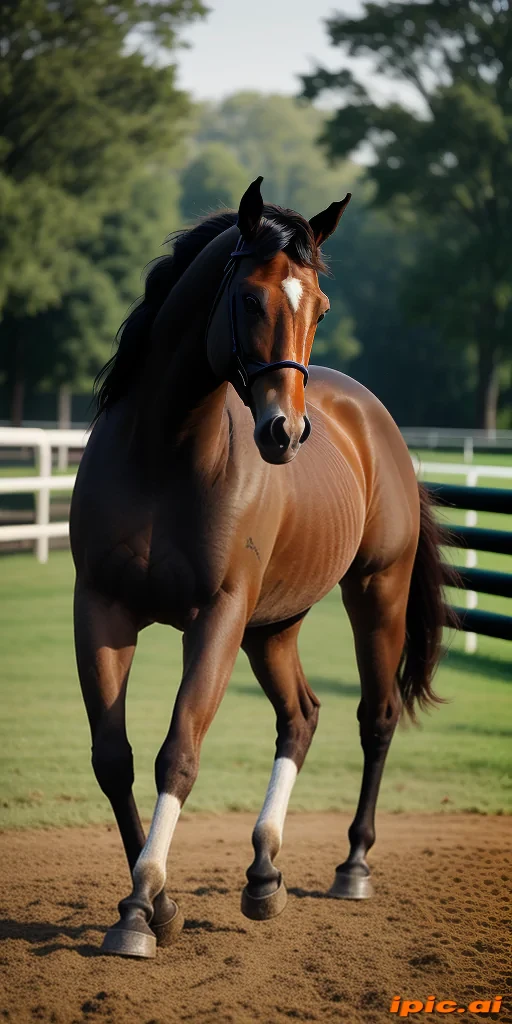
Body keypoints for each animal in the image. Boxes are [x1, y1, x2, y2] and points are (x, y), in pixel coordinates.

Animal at [70, 177, 449, 959]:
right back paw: (264, 872)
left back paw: (353, 865)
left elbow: (179, 752)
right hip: (272, 627)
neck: (165, 455)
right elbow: (114, 758)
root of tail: (375, 420)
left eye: (320, 308)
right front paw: (157, 906)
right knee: (300, 717)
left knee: (376, 716)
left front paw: (140, 907)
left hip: (376, 593)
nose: (285, 432)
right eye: (248, 298)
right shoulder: (100, 611)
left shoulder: (215, 616)